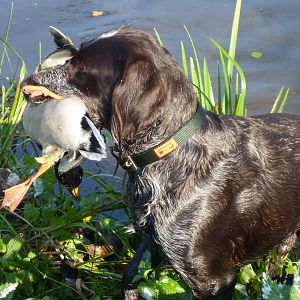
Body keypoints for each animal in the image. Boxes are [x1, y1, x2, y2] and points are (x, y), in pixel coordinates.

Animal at [21, 29, 300, 298]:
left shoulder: (214, 281)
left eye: (80, 68)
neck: (169, 153)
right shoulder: (151, 243)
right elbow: (129, 277)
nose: (26, 83)